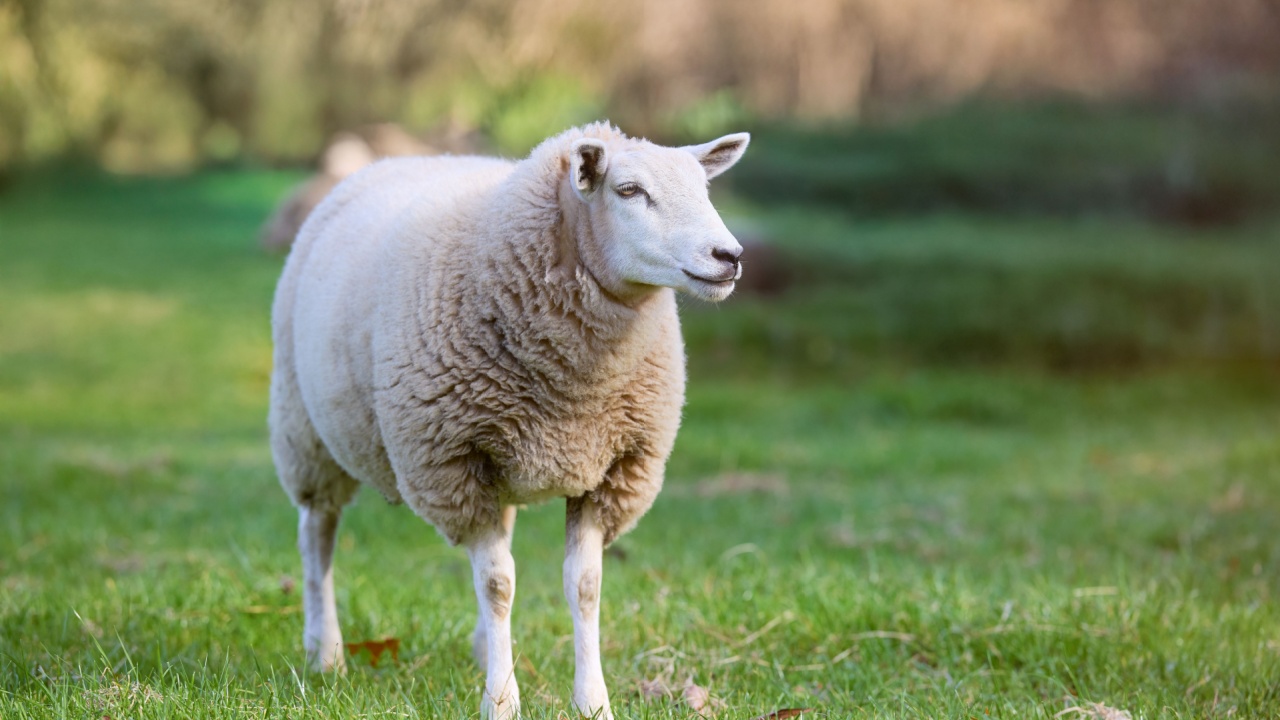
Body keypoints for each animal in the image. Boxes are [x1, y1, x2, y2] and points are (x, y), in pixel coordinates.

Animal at [269, 122, 749, 720]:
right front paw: (501, 700)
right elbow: (499, 584)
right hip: (305, 428)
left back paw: (479, 647)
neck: (576, 391)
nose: (729, 256)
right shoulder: (454, 462)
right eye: (629, 190)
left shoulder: (609, 468)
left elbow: (584, 586)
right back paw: (325, 651)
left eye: (703, 188)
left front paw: (592, 701)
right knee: (318, 535)